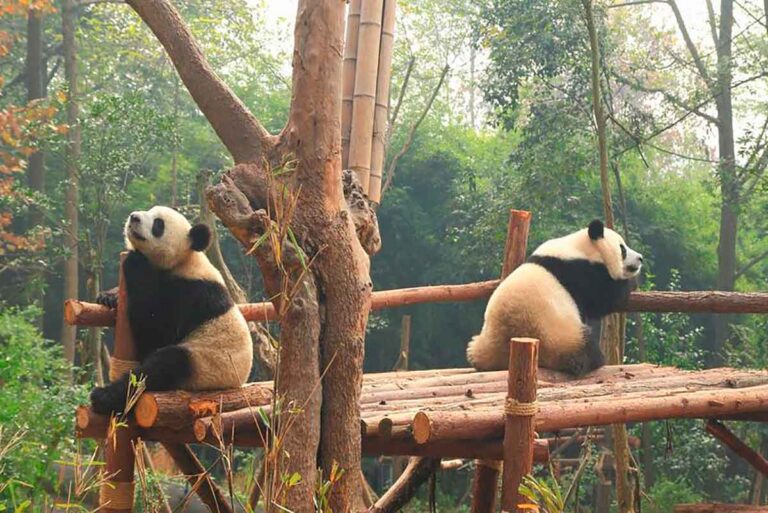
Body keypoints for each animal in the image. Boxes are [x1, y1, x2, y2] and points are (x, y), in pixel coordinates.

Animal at [89, 206, 252, 414]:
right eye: (148, 211)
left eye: (158, 224)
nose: (134, 217)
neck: (185, 261)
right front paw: (109, 297)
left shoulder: (192, 295)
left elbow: (158, 333)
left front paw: (135, 262)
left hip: (204, 365)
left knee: (164, 366)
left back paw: (103, 397)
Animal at [468, 218, 640, 374]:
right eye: (622, 249)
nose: (640, 258)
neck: (580, 248)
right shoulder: (580, 274)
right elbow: (605, 298)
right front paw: (631, 281)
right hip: (559, 336)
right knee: (583, 347)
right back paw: (595, 359)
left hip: (485, 341)